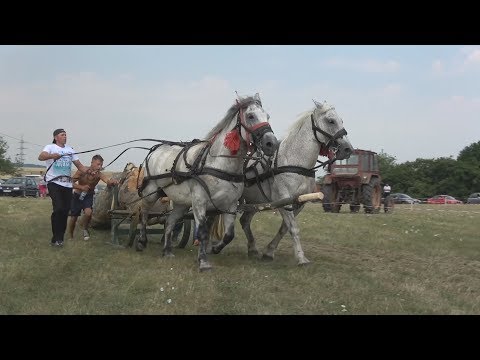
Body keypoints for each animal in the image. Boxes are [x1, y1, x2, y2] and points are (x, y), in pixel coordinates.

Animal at [136, 93, 278, 270]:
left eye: (268, 116)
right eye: (251, 116)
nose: (272, 144)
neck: (218, 163)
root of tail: (156, 149)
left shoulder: (230, 205)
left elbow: (229, 234)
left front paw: (215, 248)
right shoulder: (199, 202)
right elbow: (203, 232)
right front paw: (203, 261)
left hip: (181, 203)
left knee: (169, 221)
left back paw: (167, 250)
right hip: (151, 192)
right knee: (144, 213)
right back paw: (141, 242)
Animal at [212, 100, 354, 266]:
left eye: (341, 120)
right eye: (331, 121)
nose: (348, 149)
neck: (295, 161)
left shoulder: (299, 203)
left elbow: (285, 228)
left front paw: (269, 252)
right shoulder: (283, 200)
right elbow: (293, 228)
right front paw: (301, 258)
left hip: (254, 201)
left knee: (245, 221)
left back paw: (253, 249)